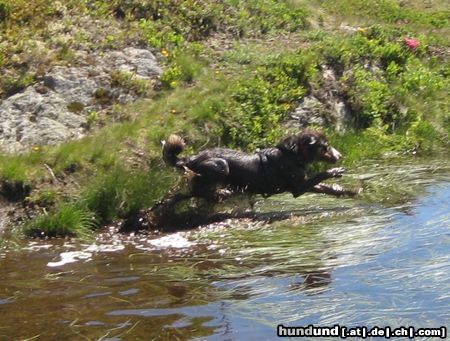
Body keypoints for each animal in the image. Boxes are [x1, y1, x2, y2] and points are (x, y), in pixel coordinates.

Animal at [161, 127, 356, 202]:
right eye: (325, 147)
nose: (340, 155)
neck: (293, 155)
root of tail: (190, 159)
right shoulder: (297, 188)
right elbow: (322, 175)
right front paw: (335, 170)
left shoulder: (301, 183)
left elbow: (327, 188)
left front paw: (348, 191)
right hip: (221, 165)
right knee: (198, 191)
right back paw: (222, 192)